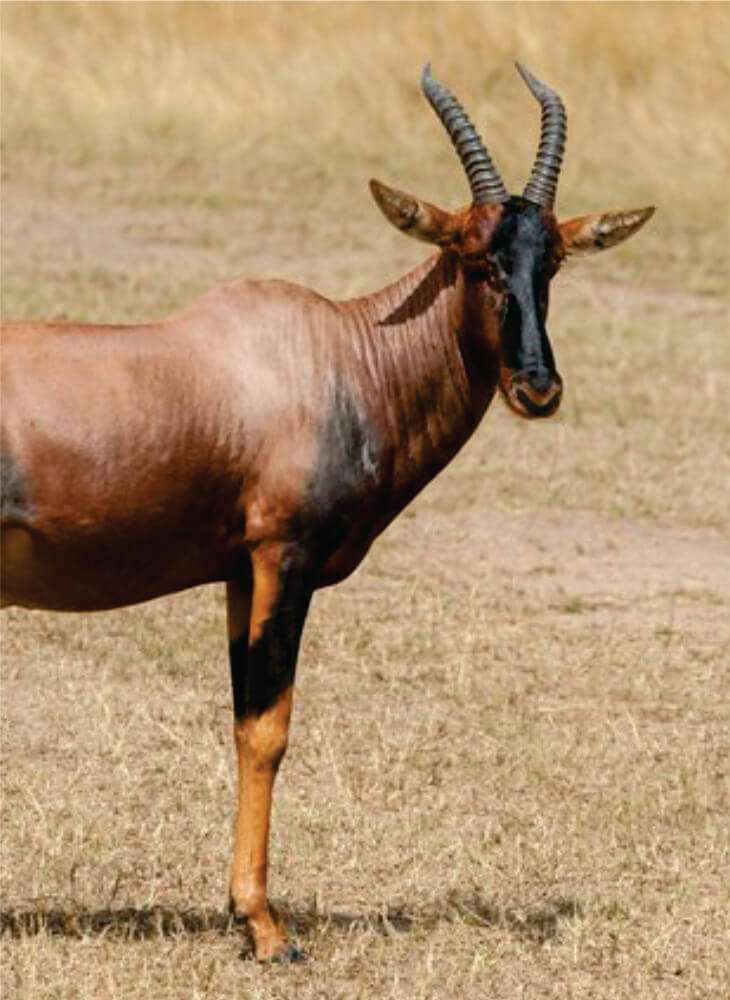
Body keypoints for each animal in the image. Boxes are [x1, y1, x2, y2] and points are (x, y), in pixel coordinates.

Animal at [2, 64, 656, 960]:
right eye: (471, 256)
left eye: (550, 258)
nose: (538, 387)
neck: (338, 351)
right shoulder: (286, 559)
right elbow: (268, 729)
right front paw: (267, 928)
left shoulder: (240, 573)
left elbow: (244, 720)